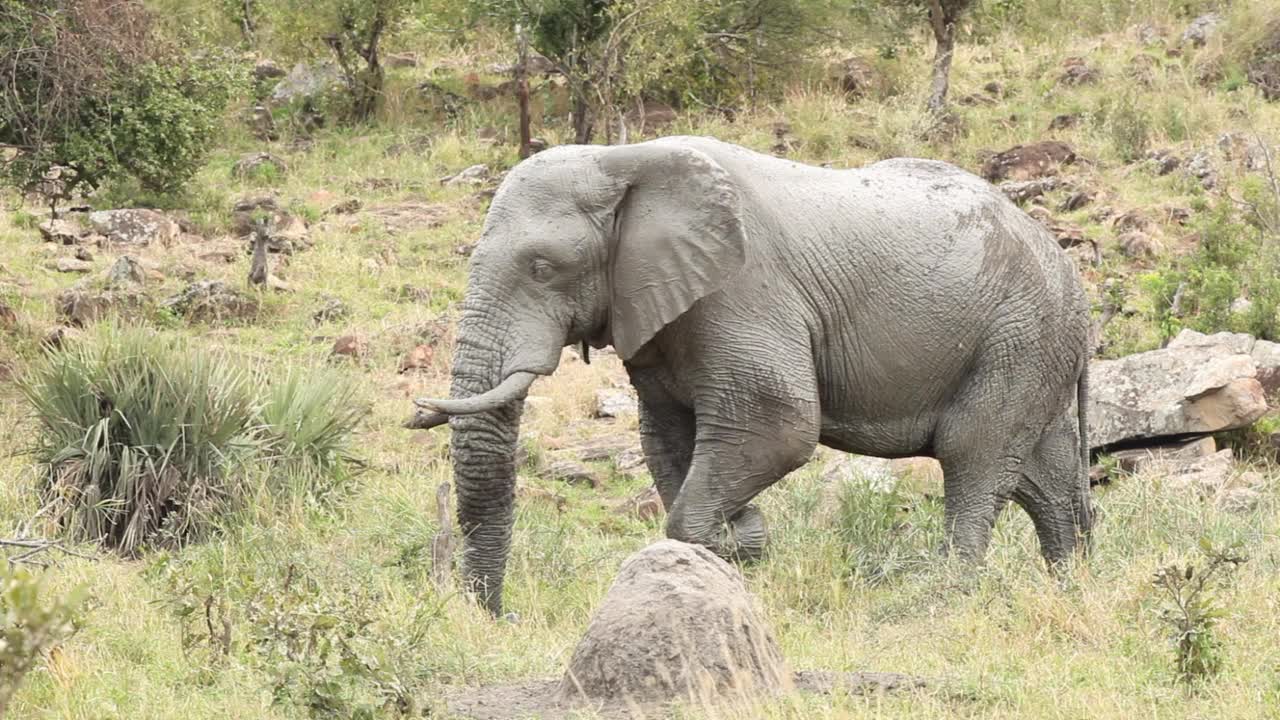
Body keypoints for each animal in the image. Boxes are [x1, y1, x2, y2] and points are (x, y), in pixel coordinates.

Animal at [417, 137, 1090, 614]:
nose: (499, 617)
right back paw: (1074, 589)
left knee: (973, 455)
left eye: (542, 268)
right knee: (1044, 478)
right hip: (1032, 348)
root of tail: (1071, 274)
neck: (621, 158)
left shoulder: (742, 292)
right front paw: (738, 540)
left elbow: (780, 425)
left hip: (1018, 336)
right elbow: (666, 439)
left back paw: (947, 602)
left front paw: (743, 535)